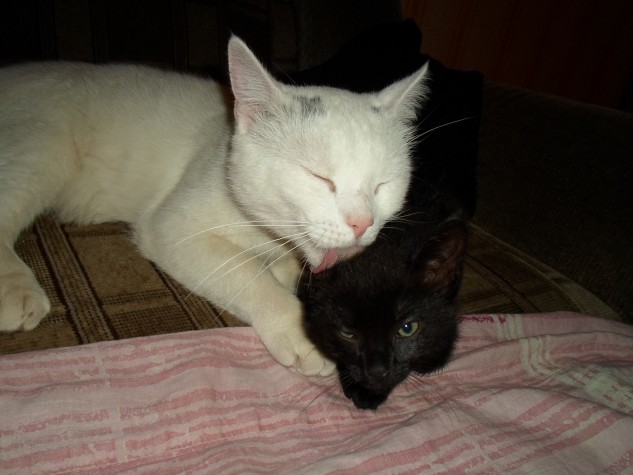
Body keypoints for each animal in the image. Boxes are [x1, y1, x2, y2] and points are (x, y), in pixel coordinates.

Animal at [0, 36, 429, 375]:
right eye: (319, 177)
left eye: (383, 185)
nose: (362, 222)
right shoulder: (171, 227)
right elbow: (247, 274)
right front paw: (301, 330)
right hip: (44, 143)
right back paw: (16, 290)